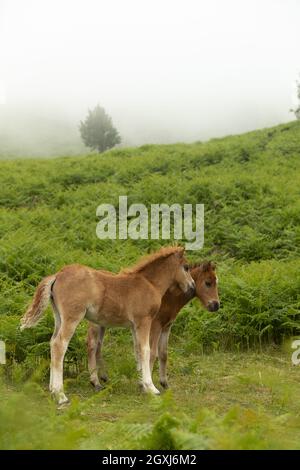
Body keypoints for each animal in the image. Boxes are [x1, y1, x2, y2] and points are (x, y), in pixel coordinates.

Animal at [20, 246, 195, 404]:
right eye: (186, 267)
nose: (192, 287)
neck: (149, 283)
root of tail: (58, 274)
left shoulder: (134, 326)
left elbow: (137, 350)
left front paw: (141, 385)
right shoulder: (144, 321)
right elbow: (146, 350)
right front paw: (151, 387)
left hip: (59, 317)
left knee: (52, 342)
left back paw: (52, 390)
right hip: (72, 317)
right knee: (59, 345)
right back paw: (61, 395)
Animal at [88, 260, 219, 390]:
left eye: (216, 282)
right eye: (208, 283)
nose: (216, 305)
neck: (168, 297)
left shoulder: (166, 327)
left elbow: (163, 353)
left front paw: (163, 382)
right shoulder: (155, 326)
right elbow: (151, 353)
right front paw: (145, 384)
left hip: (102, 324)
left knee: (99, 346)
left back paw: (104, 377)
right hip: (95, 324)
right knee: (92, 345)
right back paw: (96, 382)